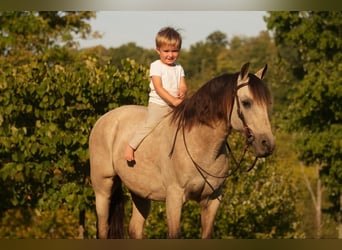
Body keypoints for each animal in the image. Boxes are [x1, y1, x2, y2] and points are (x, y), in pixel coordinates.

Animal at [89, 62, 276, 238]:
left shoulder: (212, 200)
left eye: (267, 104)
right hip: (103, 189)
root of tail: (104, 119)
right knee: (103, 228)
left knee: (135, 229)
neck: (201, 146)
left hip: (140, 192)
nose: (267, 144)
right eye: (246, 103)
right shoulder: (174, 199)